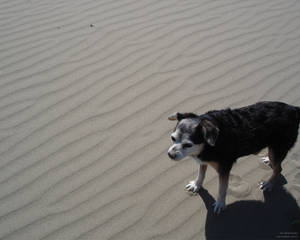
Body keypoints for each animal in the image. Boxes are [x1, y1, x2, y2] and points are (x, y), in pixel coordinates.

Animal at [168, 101, 298, 214]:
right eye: (172, 138)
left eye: (188, 145)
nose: (170, 155)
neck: (208, 144)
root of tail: (294, 109)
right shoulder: (203, 159)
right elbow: (201, 174)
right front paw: (196, 185)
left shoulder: (224, 169)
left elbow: (222, 188)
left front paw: (220, 203)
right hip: (273, 149)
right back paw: (267, 160)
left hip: (278, 148)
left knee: (278, 168)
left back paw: (269, 184)